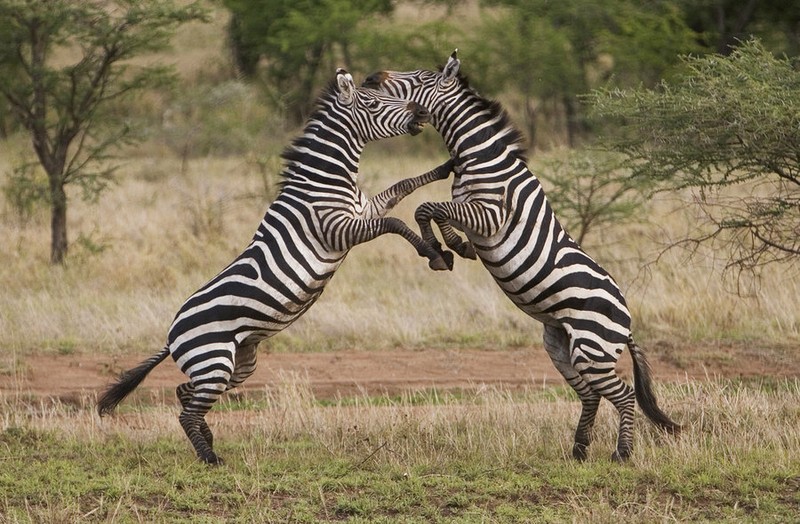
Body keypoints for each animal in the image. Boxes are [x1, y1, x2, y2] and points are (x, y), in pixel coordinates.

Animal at [97, 68, 454, 462]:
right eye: (374, 104)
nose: (422, 113)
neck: (324, 183)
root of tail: (171, 333)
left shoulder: (364, 211)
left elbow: (404, 184)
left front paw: (447, 165)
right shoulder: (339, 230)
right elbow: (395, 223)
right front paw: (433, 253)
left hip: (239, 363)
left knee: (185, 394)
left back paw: (208, 440)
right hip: (215, 362)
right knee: (187, 411)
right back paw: (210, 458)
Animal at [364, 51, 680, 460]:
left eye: (419, 78)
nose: (372, 76)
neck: (479, 158)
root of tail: (627, 322)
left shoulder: (490, 214)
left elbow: (427, 208)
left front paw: (448, 249)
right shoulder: (470, 210)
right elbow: (435, 210)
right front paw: (452, 248)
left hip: (591, 349)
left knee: (623, 395)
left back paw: (621, 454)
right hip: (561, 346)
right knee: (592, 395)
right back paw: (579, 449)